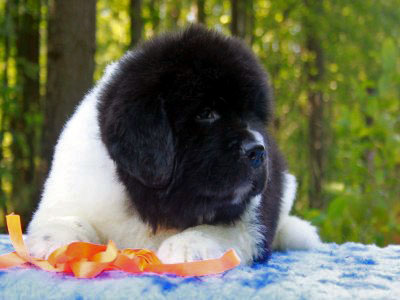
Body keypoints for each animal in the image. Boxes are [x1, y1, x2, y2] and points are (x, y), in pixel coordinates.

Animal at [26, 26, 320, 264]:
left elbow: (222, 227)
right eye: (206, 113)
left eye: (253, 116)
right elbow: (66, 217)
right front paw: (55, 238)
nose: (259, 151)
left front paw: (189, 245)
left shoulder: (250, 218)